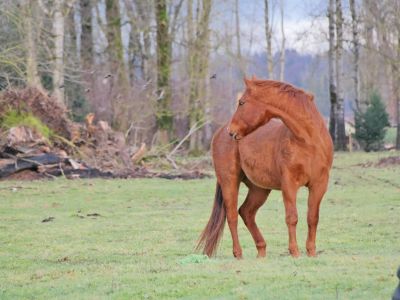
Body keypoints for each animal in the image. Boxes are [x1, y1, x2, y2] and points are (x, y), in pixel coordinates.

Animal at [195, 77, 332, 258]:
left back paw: (261, 251)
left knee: (246, 212)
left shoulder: (319, 184)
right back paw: (238, 254)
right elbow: (292, 217)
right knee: (232, 215)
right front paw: (294, 252)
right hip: (229, 181)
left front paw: (311, 253)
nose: (232, 131)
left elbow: (312, 218)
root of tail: (219, 132)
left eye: (242, 102)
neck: (309, 141)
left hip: (259, 189)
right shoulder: (289, 184)